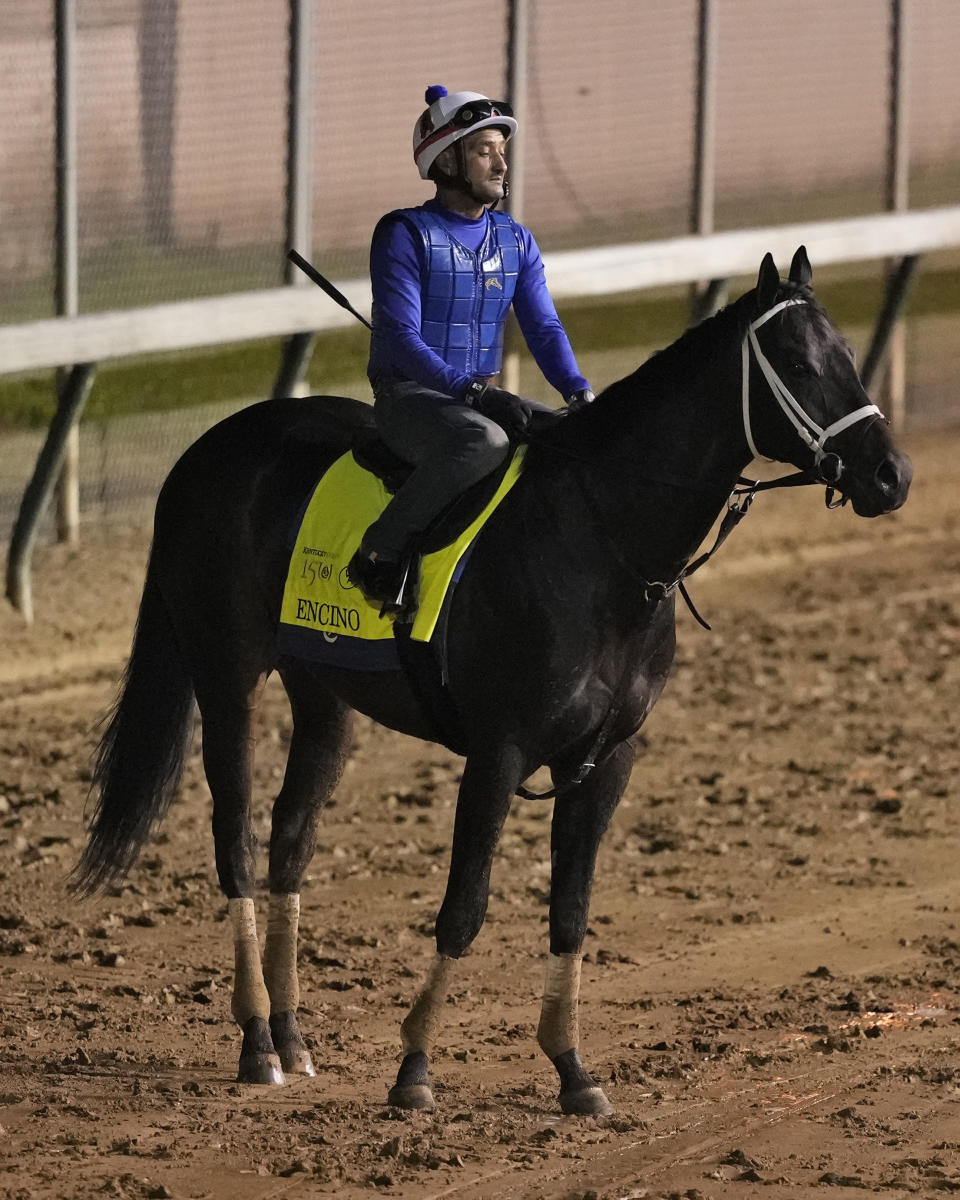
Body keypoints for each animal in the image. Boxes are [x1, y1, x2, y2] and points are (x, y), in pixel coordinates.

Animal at [71, 248, 912, 1118]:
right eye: (800, 363)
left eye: (848, 354)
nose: (891, 475)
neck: (599, 543)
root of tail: (203, 452)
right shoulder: (499, 753)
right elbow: (464, 909)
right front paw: (414, 1068)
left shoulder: (608, 761)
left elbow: (571, 912)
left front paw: (573, 1069)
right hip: (227, 675)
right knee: (234, 838)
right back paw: (258, 1040)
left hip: (324, 694)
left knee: (290, 838)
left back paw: (293, 1034)